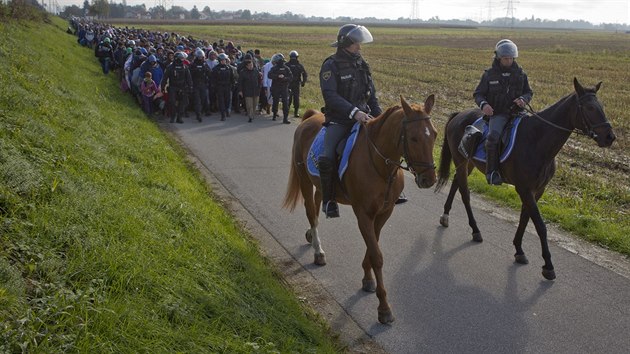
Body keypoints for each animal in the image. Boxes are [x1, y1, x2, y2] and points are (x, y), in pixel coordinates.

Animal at [284, 94, 436, 324]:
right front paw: (384, 308)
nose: (429, 179)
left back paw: (312, 234)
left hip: (320, 184)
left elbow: (373, 248)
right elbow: (377, 255)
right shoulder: (363, 214)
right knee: (311, 211)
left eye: (434, 135)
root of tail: (310, 117)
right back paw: (318, 251)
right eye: (414, 138)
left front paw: (367, 279)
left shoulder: (383, 213)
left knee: (319, 205)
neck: (380, 165)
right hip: (304, 179)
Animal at [436, 79, 620, 280]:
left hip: (468, 163)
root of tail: (458, 115)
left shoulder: (537, 190)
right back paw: (475, 230)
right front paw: (548, 266)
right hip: (461, 162)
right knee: (465, 193)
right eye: (589, 107)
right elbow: (540, 225)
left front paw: (519, 250)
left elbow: (525, 218)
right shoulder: (524, 189)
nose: (609, 137)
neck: (537, 139)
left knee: (456, 183)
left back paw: (445, 216)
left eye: (601, 106)